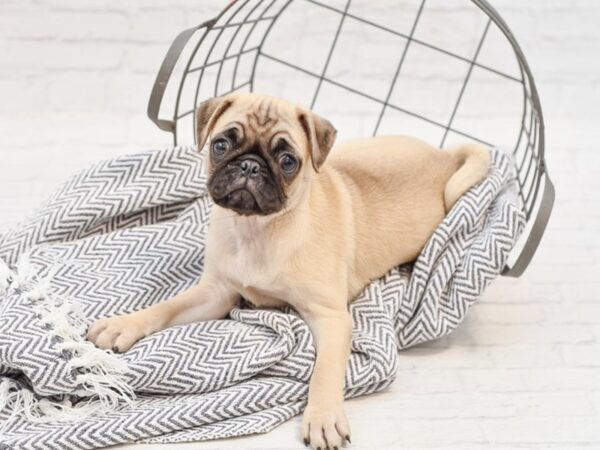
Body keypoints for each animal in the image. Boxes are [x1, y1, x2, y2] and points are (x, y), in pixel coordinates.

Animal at [86, 92, 490, 450]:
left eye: (288, 161)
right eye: (221, 145)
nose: (249, 165)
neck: (256, 230)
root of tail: (443, 156)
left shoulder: (331, 317)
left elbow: (325, 371)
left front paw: (324, 418)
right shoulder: (215, 293)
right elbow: (165, 307)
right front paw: (123, 325)